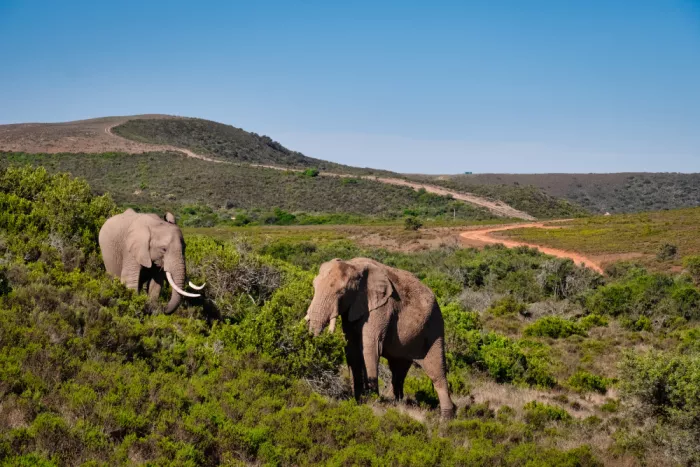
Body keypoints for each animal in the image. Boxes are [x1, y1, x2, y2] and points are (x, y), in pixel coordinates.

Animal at [305, 257, 456, 418]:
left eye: (341, 292)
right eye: (314, 285)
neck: (353, 265)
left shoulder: (381, 307)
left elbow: (369, 348)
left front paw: (372, 402)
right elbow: (352, 350)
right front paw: (357, 400)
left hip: (435, 327)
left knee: (437, 373)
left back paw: (446, 418)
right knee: (398, 371)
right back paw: (398, 404)